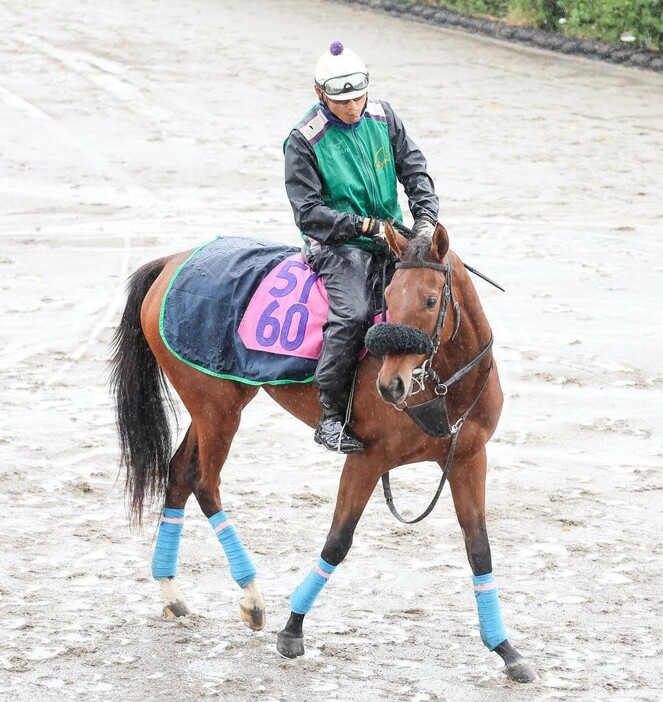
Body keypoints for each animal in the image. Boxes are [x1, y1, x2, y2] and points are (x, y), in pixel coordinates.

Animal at [109, 223, 536, 684]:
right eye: (387, 299)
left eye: (430, 300)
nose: (391, 385)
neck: (443, 385)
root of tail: (174, 260)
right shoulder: (366, 459)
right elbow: (337, 542)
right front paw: (293, 628)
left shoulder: (468, 458)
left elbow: (479, 548)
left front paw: (505, 649)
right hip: (216, 407)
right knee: (204, 482)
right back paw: (252, 597)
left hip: (216, 402)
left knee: (179, 474)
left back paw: (171, 591)